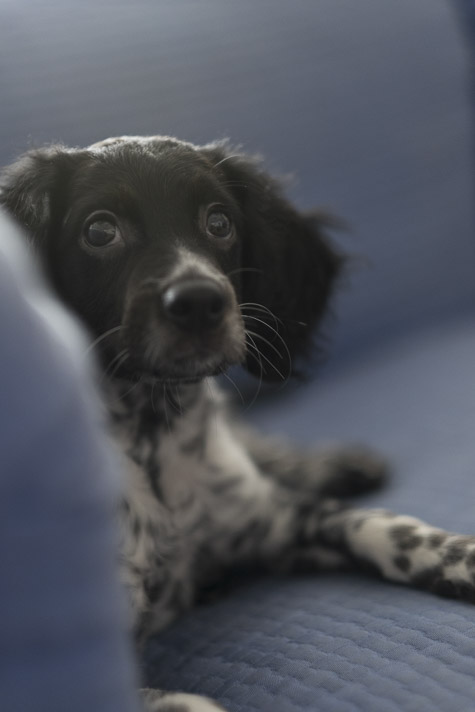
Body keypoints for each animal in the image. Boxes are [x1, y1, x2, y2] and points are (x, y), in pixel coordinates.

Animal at [0, 135, 475, 712]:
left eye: (219, 222)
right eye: (99, 230)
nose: (200, 302)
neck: (155, 432)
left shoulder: (276, 523)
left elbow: (379, 524)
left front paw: (462, 557)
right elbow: (174, 701)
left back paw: (337, 462)